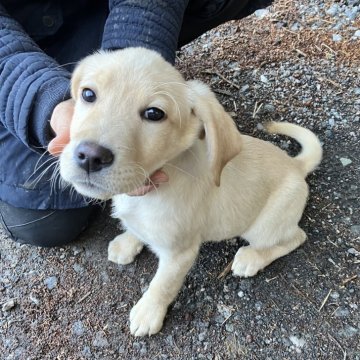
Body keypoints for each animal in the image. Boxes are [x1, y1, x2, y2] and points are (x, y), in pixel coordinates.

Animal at [60, 46, 322, 336]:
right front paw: (128, 242)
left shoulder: (179, 254)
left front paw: (148, 313)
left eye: (154, 114)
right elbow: (136, 229)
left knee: (294, 237)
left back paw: (251, 258)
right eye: (88, 94)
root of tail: (296, 165)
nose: (90, 156)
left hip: (263, 226)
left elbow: (162, 285)